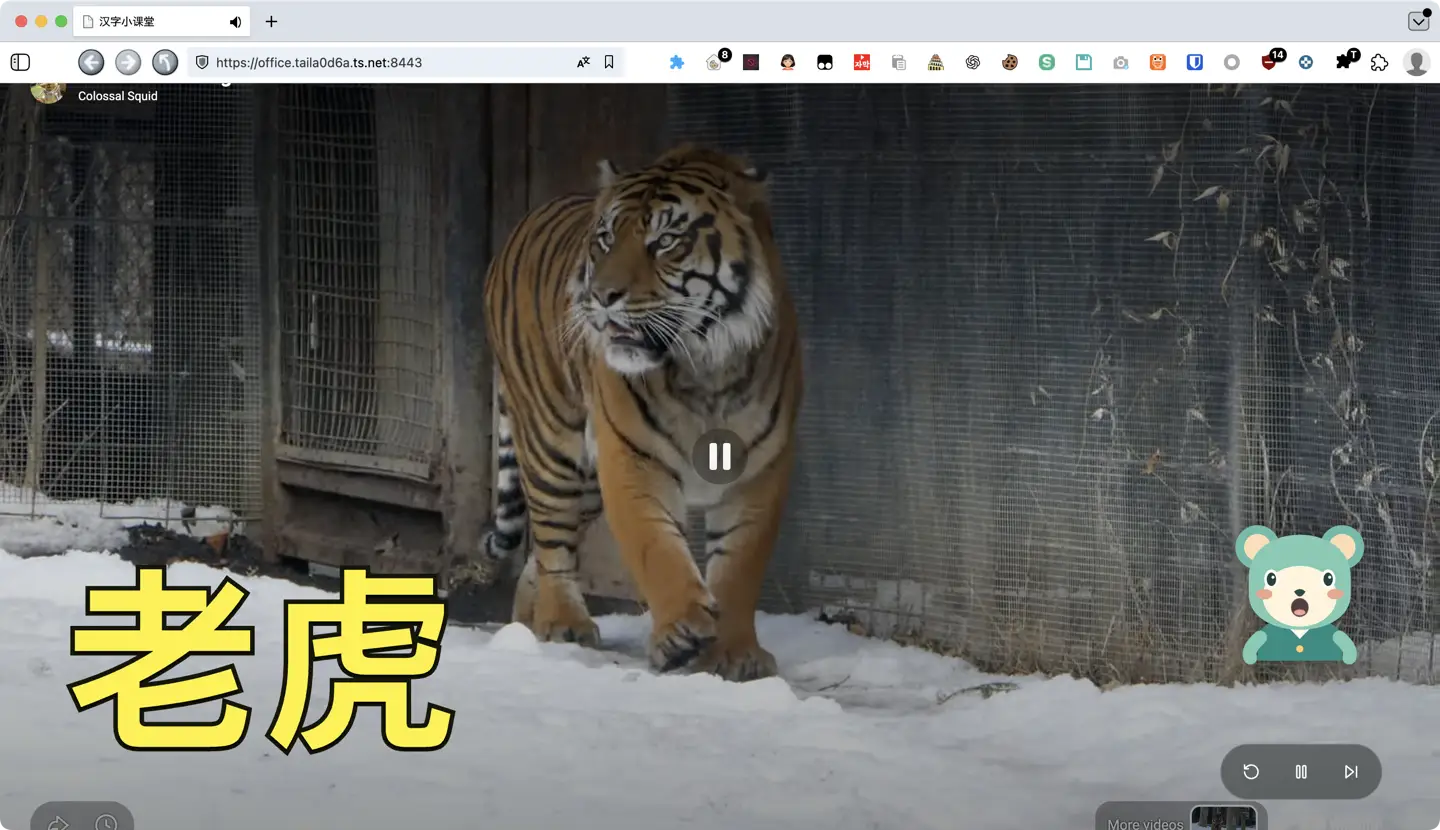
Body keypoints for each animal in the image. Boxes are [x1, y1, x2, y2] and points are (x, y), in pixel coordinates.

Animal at [473, 144, 803, 682]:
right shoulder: (631, 459)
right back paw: (563, 623)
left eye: (665, 241)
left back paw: (528, 625)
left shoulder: (760, 471)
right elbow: (656, 547)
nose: (602, 296)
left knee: (543, 551)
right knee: (552, 539)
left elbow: (739, 565)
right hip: (553, 444)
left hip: (587, 483)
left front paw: (735, 654)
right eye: (606, 238)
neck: (704, 367)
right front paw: (682, 631)